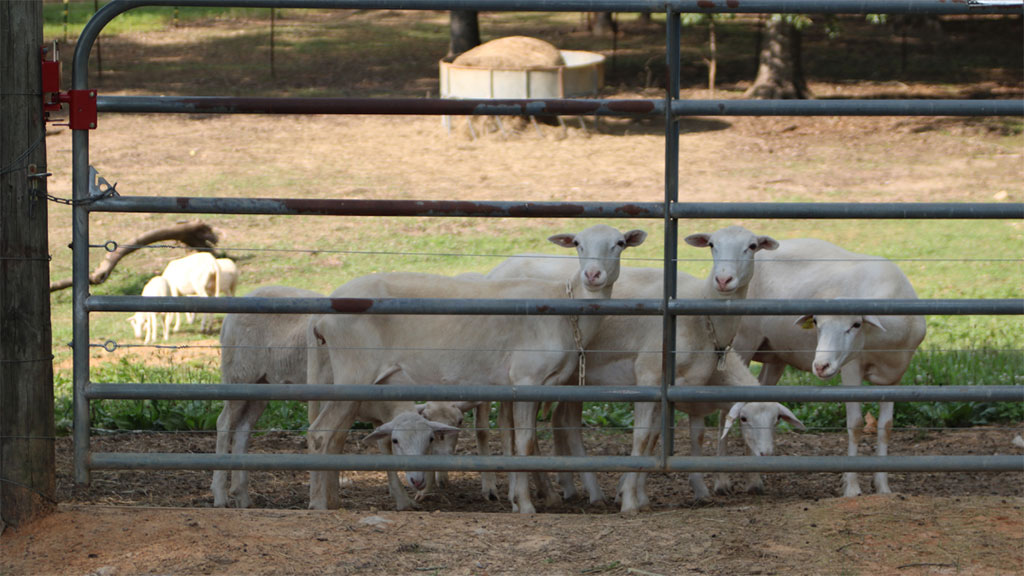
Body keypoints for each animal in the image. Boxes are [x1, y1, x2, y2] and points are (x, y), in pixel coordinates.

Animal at [305, 224, 647, 510]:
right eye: (577, 243)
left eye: (619, 244)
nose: (593, 275)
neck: (566, 310)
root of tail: (322, 315)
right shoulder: (527, 378)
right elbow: (524, 443)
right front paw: (526, 505)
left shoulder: (533, 385)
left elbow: (515, 442)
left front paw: (519, 498)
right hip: (354, 371)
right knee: (321, 434)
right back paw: (320, 504)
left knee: (335, 437)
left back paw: (331, 500)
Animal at [485, 224, 790, 510]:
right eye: (712, 245)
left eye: (752, 246)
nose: (723, 279)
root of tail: (499, 268)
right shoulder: (648, 373)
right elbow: (642, 437)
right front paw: (629, 499)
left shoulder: (672, 387)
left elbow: (655, 437)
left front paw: (636, 495)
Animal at [729, 235, 929, 496]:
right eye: (816, 322)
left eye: (856, 324)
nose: (821, 365)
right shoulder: (852, 368)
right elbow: (855, 425)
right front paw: (852, 488)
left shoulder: (895, 375)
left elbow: (885, 427)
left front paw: (883, 487)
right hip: (742, 340)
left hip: (776, 356)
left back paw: (754, 479)